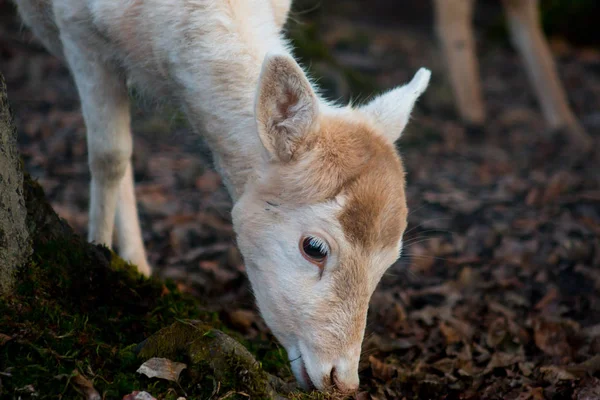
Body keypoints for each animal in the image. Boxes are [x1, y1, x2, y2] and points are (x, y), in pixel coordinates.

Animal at [15, 0, 432, 394]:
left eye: (389, 261)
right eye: (314, 247)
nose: (341, 380)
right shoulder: (76, 31)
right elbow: (109, 155)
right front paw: (97, 260)